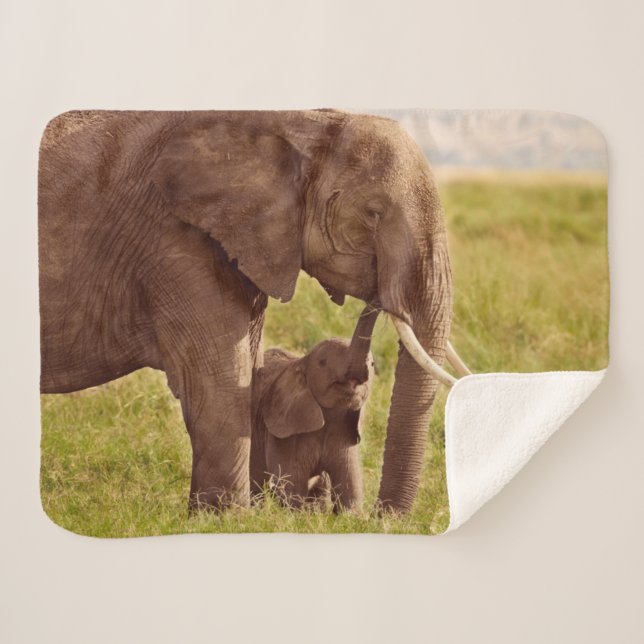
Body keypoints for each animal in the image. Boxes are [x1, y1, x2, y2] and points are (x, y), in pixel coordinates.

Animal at [249, 307, 378, 511]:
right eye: (322, 363)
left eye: (372, 365)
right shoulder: (285, 435)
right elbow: (292, 488)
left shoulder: (345, 432)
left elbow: (350, 491)